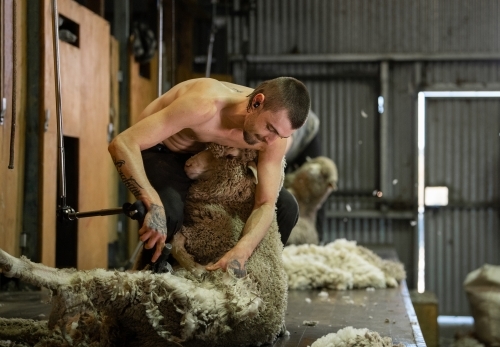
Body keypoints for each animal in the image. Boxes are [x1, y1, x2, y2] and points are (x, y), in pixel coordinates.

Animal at [0, 143, 288, 347]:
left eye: (229, 156)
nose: (189, 163)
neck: (233, 199)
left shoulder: (205, 237)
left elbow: (184, 248)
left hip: (148, 293)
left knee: (76, 281)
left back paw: (10, 264)